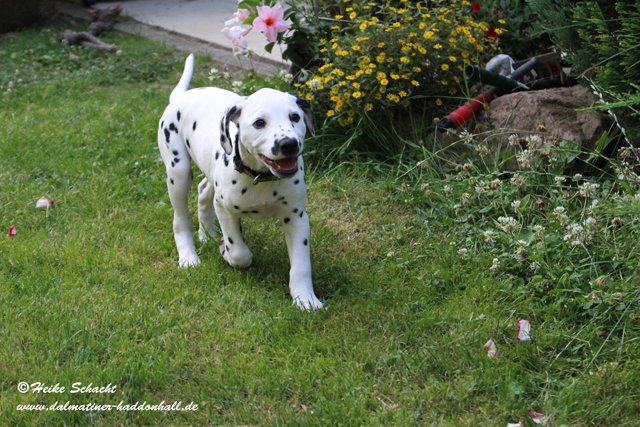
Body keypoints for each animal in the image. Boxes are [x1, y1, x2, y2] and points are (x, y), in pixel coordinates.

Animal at [157, 54, 323, 310]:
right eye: (259, 123)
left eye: (295, 117)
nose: (288, 144)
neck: (261, 178)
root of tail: (180, 97)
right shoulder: (225, 209)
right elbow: (239, 253)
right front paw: (226, 251)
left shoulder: (297, 217)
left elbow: (301, 266)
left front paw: (305, 299)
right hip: (178, 171)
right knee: (181, 218)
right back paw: (189, 256)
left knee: (203, 190)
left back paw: (207, 234)